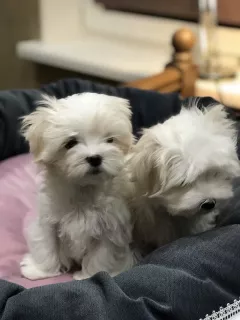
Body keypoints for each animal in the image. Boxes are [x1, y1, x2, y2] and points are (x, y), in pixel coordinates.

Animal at [19, 92, 134, 280]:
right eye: (70, 143)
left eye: (110, 140)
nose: (95, 158)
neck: (84, 189)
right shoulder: (49, 219)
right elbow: (46, 244)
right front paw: (40, 271)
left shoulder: (111, 227)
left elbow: (102, 254)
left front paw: (90, 275)